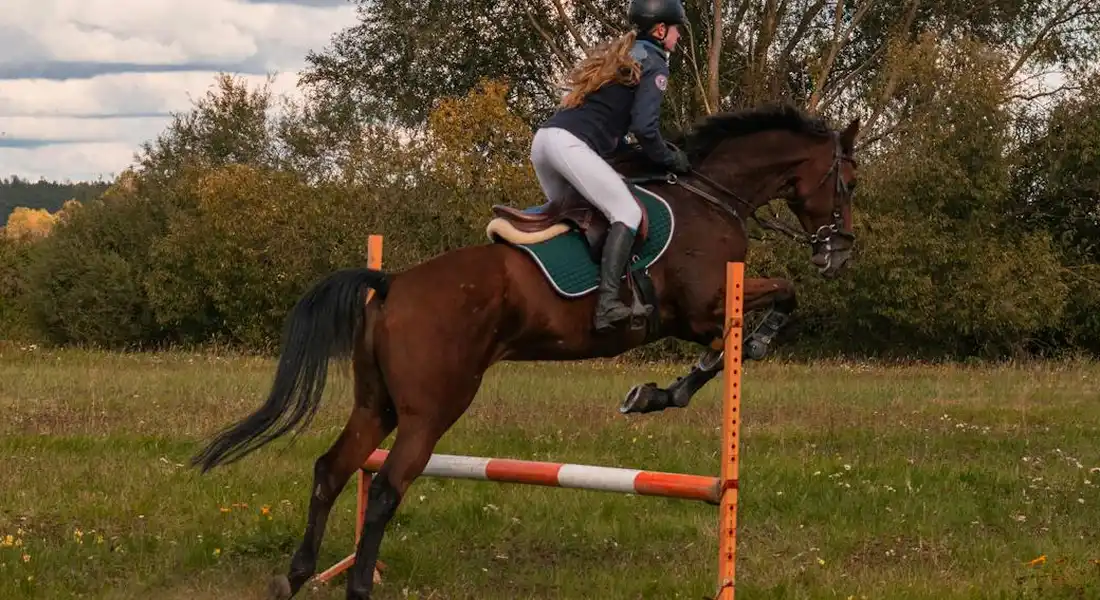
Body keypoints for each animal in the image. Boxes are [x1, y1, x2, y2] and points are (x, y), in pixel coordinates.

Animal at [190, 103, 860, 599]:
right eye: (848, 182)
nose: (839, 253)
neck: (711, 197)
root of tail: (394, 282)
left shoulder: (700, 318)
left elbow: (730, 347)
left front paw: (656, 392)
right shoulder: (701, 310)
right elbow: (768, 310)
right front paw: (690, 376)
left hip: (375, 404)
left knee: (333, 470)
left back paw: (297, 576)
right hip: (432, 409)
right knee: (382, 488)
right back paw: (356, 584)